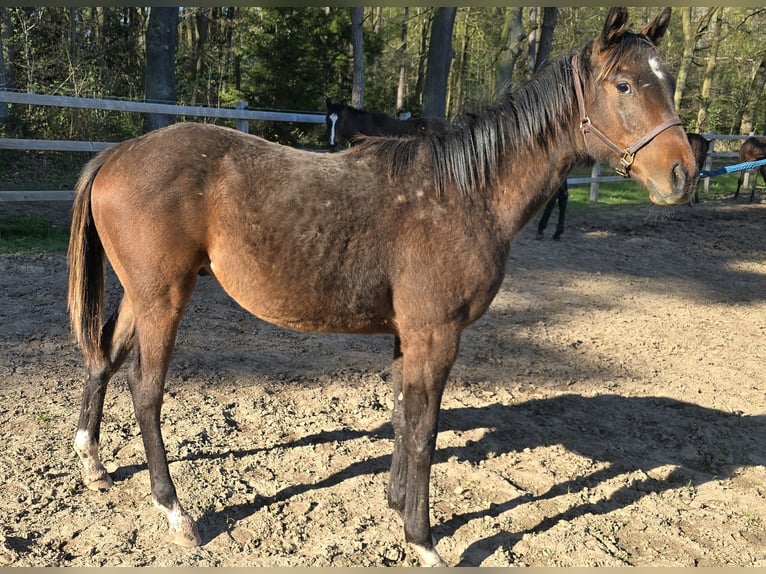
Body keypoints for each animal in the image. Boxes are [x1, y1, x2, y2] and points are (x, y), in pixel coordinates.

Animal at [67, 7, 696, 566]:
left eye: (667, 82)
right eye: (624, 85)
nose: (682, 174)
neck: (465, 193)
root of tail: (116, 155)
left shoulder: (407, 334)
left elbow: (400, 416)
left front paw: (395, 506)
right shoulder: (436, 335)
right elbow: (425, 432)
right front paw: (423, 539)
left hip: (142, 297)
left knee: (104, 358)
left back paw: (93, 464)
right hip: (164, 300)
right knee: (145, 390)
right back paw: (177, 513)